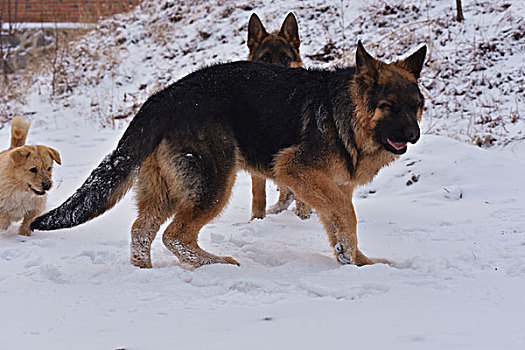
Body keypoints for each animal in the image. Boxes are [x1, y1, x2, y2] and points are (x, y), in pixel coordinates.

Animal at [30, 42, 426, 270]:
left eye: (415, 107)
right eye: (389, 106)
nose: (414, 136)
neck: (343, 111)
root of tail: (163, 97)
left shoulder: (330, 186)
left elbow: (339, 222)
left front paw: (356, 261)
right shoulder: (297, 170)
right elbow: (348, 216)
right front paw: (353, 257)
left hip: (169, 189)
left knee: (141, 231)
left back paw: (146, 271)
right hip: (214, 182)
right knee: (175, 235)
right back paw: (214, 264)